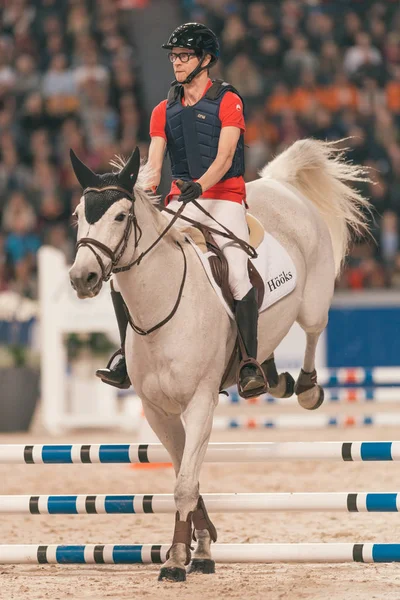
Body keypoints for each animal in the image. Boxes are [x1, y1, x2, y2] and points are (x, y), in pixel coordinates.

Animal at [68, 138, 368, 580]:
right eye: (78, 216)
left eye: (121, 216)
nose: (82, 278)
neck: (161, 306)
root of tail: (278, 183)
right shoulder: (158, 411)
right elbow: (185, 477)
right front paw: (201, 547)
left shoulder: (199, 404)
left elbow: (185, 485)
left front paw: (178, 559)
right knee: (266, 345)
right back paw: (268, 376)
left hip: (313, 301)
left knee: (312, 330)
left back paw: (306, 387)